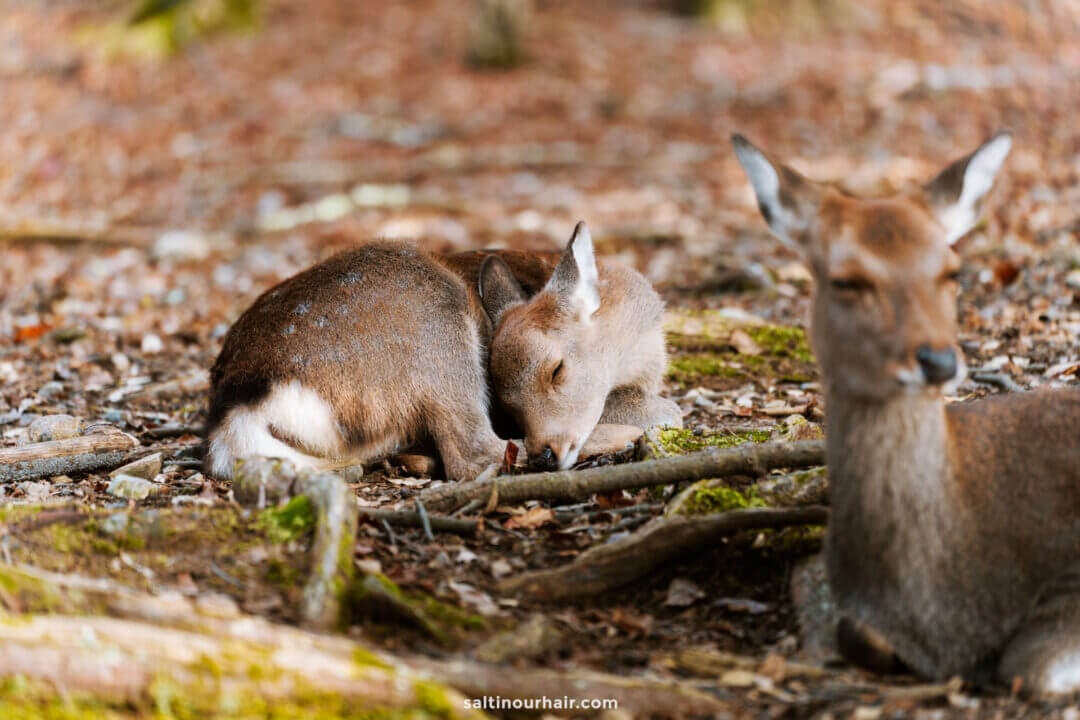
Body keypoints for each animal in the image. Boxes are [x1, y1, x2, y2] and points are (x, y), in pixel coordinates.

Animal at [205, 223, 678, 483]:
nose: (548, 452)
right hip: (437, 328)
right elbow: (669, 409)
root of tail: (240, 407)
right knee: (475, 455)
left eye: (556, 369)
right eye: (507, 401)